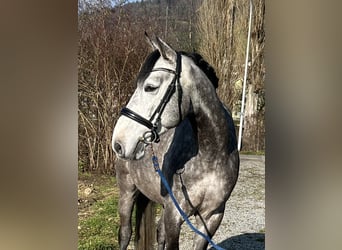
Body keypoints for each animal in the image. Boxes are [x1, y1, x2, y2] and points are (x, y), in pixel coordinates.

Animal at [111, 33, 239, 250]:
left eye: (150, 87)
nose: (118, 142)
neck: (212, 156)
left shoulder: (211, 218)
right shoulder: (174, 216)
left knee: (158, 232)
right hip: (127, 191)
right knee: (125, 233)